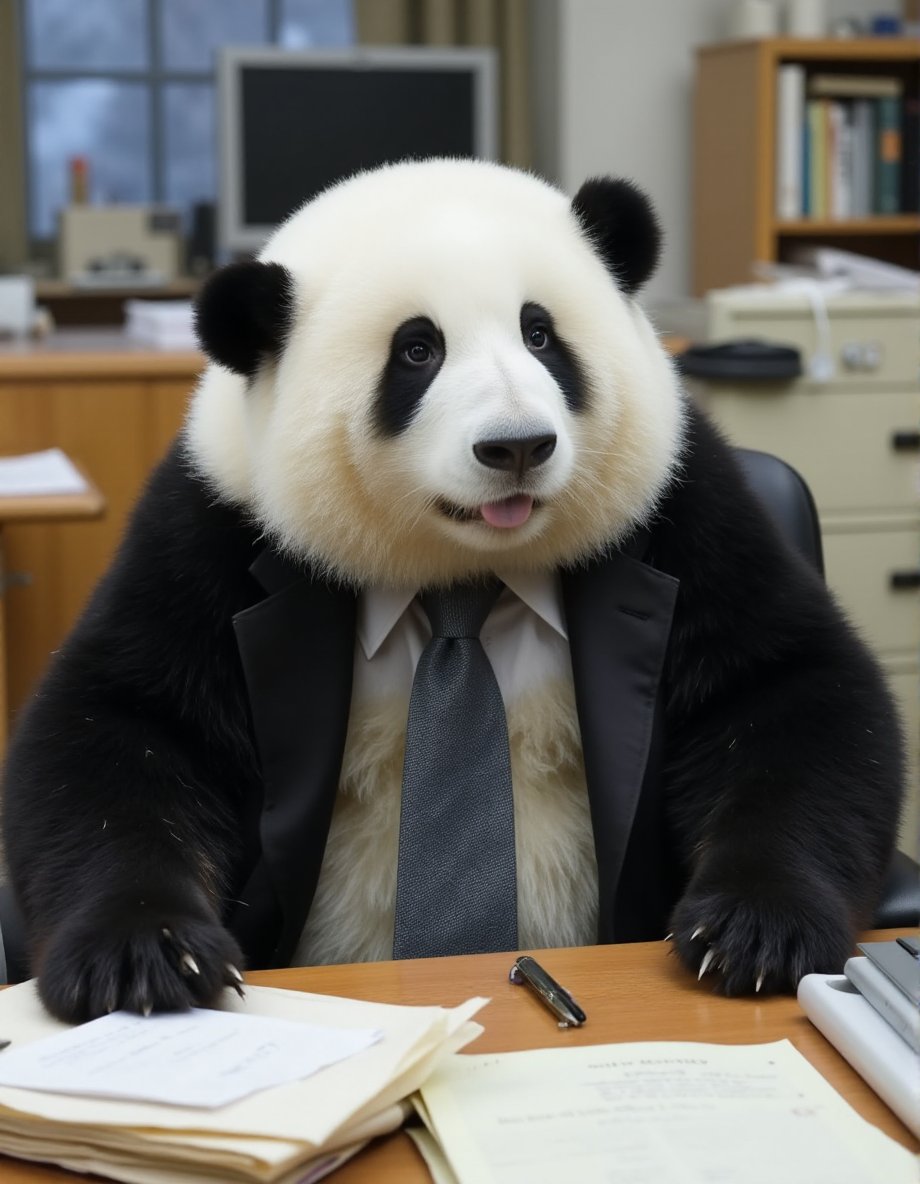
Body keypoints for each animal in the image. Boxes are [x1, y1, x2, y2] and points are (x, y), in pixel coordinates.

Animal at [1, 157, 904, 1022]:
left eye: (541, 334)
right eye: (417, 351)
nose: (518, 446)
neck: (456, 566)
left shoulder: (682, 510)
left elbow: (782, 691)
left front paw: (752, 930)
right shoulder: (214, 530)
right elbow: (128, 726)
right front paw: (148, 954)